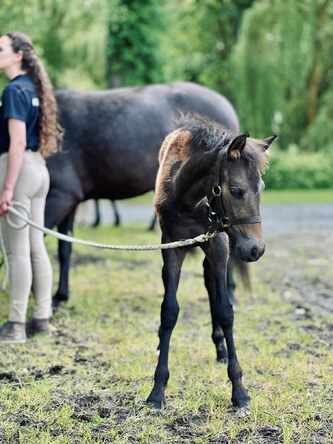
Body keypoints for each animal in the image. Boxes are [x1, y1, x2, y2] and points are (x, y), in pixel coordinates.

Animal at [147, 118, 276, 410]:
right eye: (237, 191)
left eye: (262, 188)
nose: (256, 250)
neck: (189, 198)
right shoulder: (172, 246)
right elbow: (169, 310)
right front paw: (157, 390)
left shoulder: (218, 245)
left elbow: (225, 310)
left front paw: (239, 390)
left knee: (212, 289)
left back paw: (221, 349)